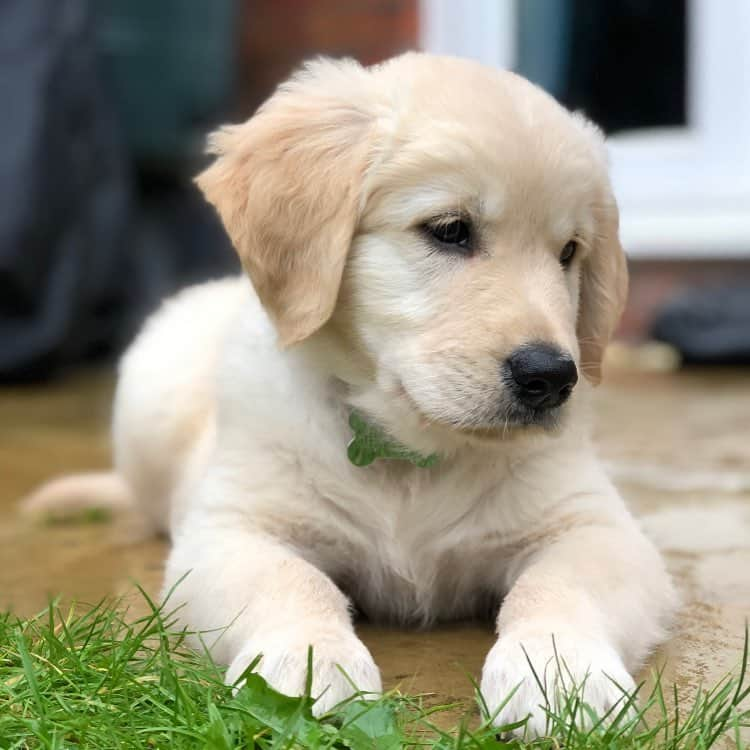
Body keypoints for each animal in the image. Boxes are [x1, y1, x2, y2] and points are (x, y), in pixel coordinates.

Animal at [26, 55, 680, 736]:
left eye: (569, 252)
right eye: (450, 231)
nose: (552, 378)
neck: (408, 451)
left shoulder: (594, 524)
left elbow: (560, 584)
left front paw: (560, 673)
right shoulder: (234, 529)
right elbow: (290, 581)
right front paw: (307, 662)